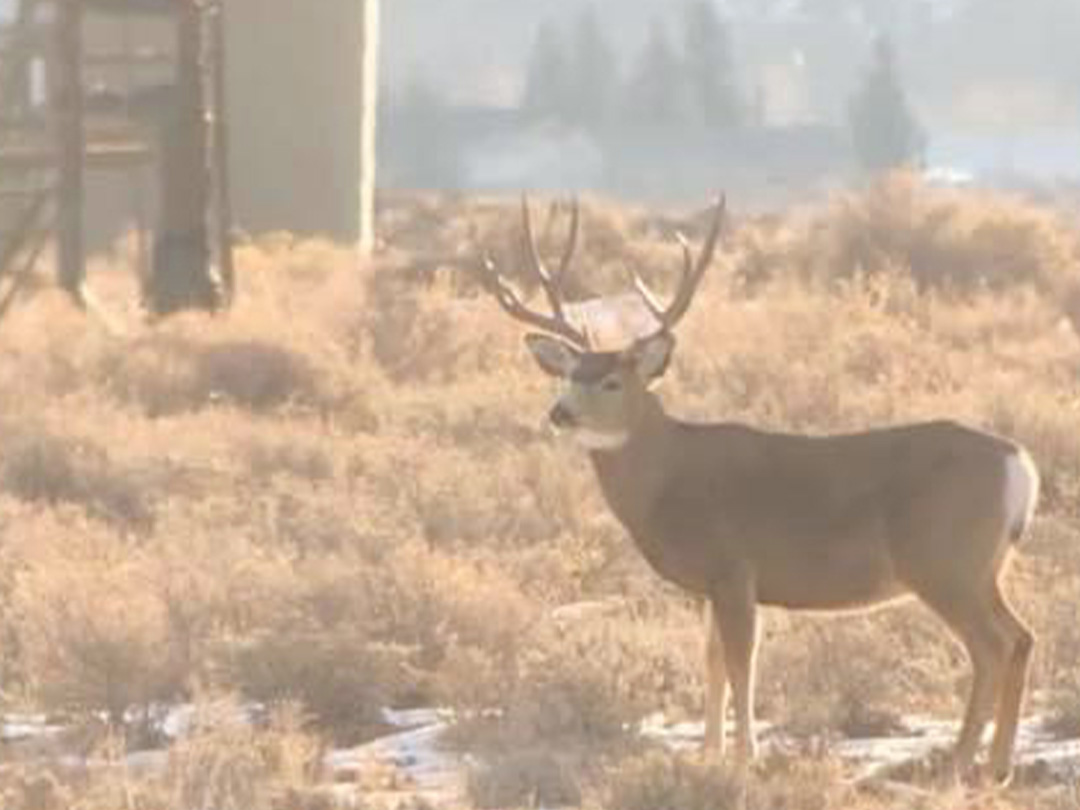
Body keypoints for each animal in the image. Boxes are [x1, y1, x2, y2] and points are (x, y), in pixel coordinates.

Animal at [479, 196, 1036, 786]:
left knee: (992, 646)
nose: (559, 413)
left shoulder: (733, 568)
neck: (667, 478)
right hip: (982, 567)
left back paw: (957, 766)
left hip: (943, 560)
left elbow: (741, 663)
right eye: (568, 375)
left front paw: (744, 757)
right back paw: (997, 768)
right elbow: (712, 663)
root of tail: (1018, 463)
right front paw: (707, 753)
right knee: (1021, 637)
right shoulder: (710, 584)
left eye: (611, 381)